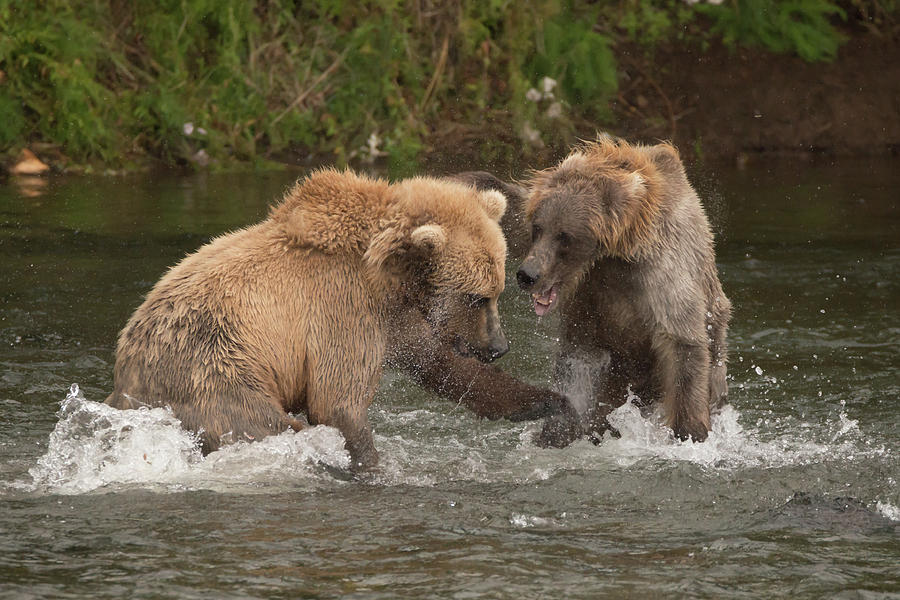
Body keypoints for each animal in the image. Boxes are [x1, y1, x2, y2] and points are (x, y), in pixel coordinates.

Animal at [105, 168, 564, 468]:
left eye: (496, 291)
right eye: (475, 297)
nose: (498, 346)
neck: (387, 277)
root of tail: (127, 370)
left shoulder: (393, 320)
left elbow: (440, 362)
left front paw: (546, 401)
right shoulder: (341, 309)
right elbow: (338, 401)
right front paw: (374, 464)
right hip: (219, 369)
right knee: (263, 425)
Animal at [512, 136, 732, 446]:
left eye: (564, 236)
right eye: (538, 228)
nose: (527, 275)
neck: (614, 253)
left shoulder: (659, 276)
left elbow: (683, 342)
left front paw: (690, 433)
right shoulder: (589, 295)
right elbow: (579, 359)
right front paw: (558, 431)